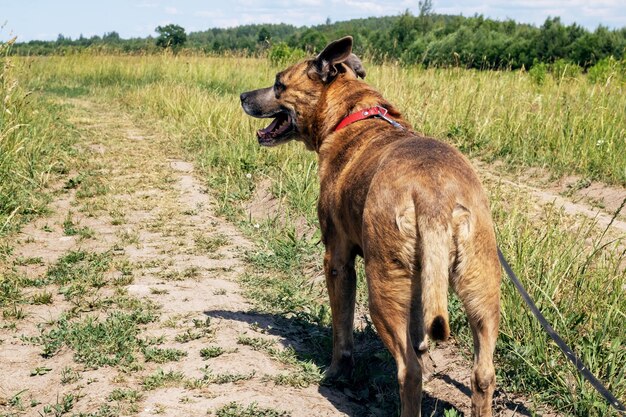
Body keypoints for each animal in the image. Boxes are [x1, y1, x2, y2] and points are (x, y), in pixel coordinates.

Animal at [241, 36, 500, 416]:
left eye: (279, 84)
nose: (243, 96)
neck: (350, 114)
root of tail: (434, 197)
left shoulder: (337, 259)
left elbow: (342, 327)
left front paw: (337, 371)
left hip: (382, 287)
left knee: (409, 371)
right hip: (482, 288)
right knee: (482, 373)